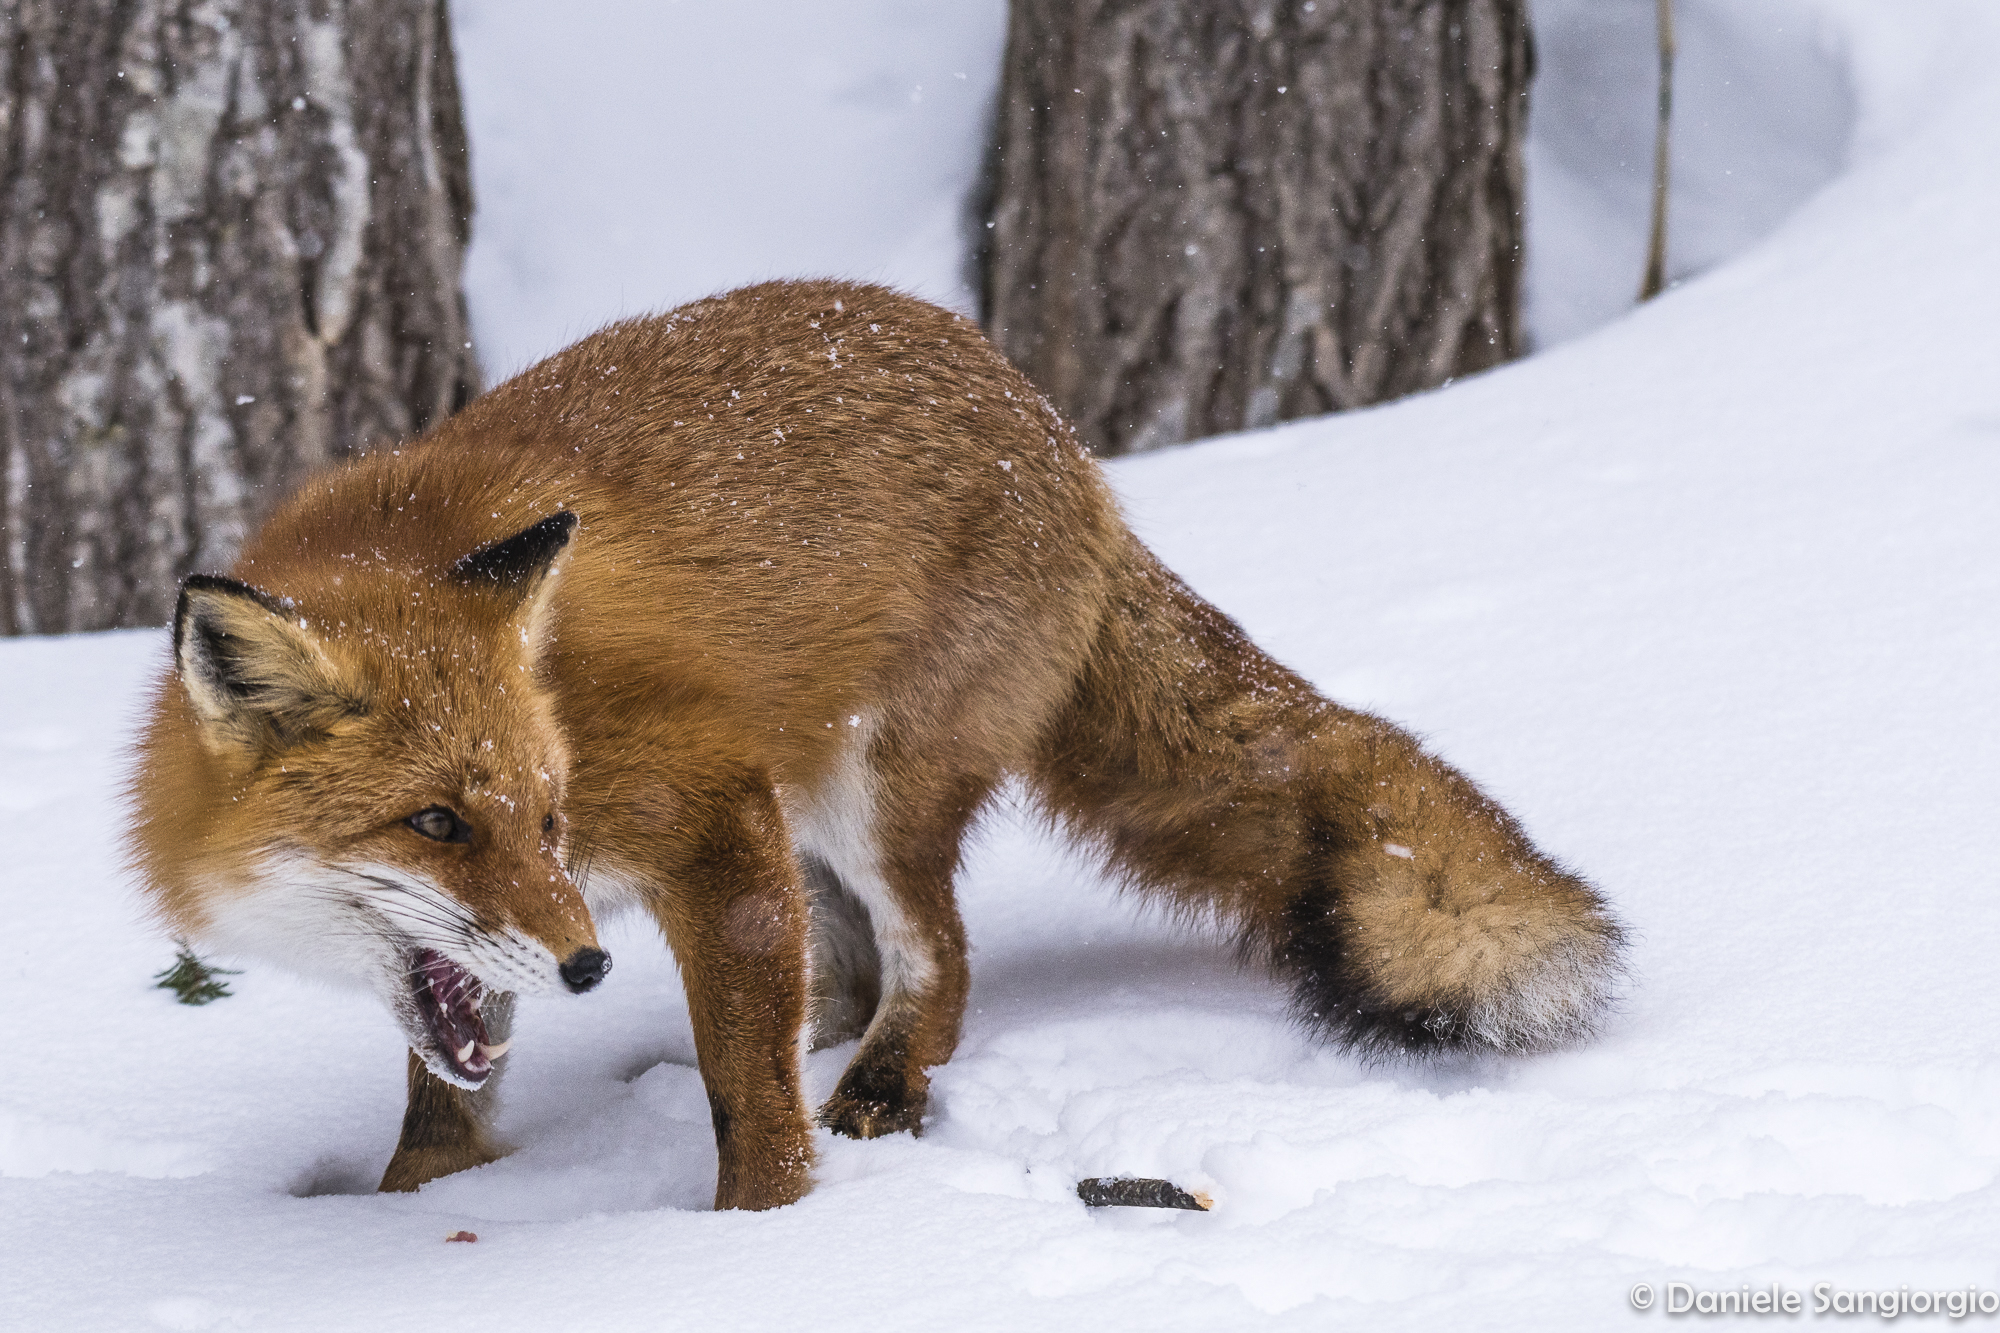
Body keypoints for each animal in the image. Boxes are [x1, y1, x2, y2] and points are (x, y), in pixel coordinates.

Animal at [128, 279, 1624, 1211]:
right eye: (436, 822)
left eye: (546, 815)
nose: (591, 968)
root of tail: (1061, 433)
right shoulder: (558, 910)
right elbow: (443, 1107)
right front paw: (407, 1218)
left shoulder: (702, 808)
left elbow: (749, 1103)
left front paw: (761, 1233)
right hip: (810, 806)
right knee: (840, 966)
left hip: (873, 791)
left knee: (935, 963)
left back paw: (883, 1090)